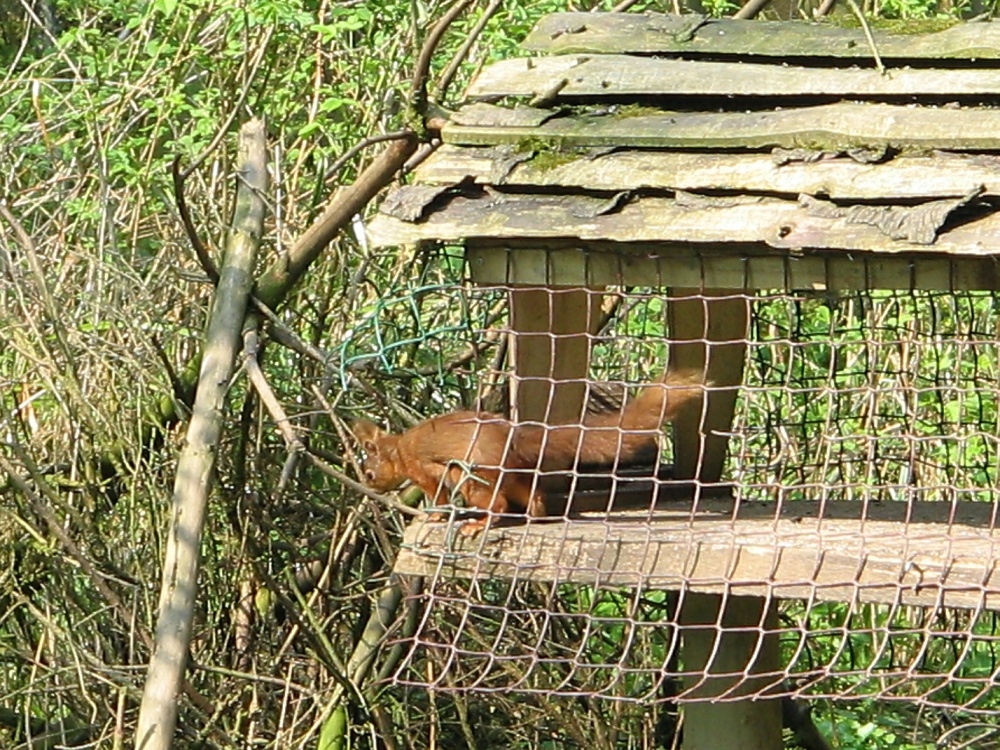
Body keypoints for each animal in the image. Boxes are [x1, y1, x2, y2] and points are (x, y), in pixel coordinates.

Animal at [352, 368, 706, 536]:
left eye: (369, 471)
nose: (369, 486)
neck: (399, 449)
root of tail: (512, 438)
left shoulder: (423, 469)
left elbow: (436, 494)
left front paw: (434, 515)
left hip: (476, 476)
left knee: (498, 503)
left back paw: (480, 523)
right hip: (513, 474)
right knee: (531, 496)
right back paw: (532, 515)